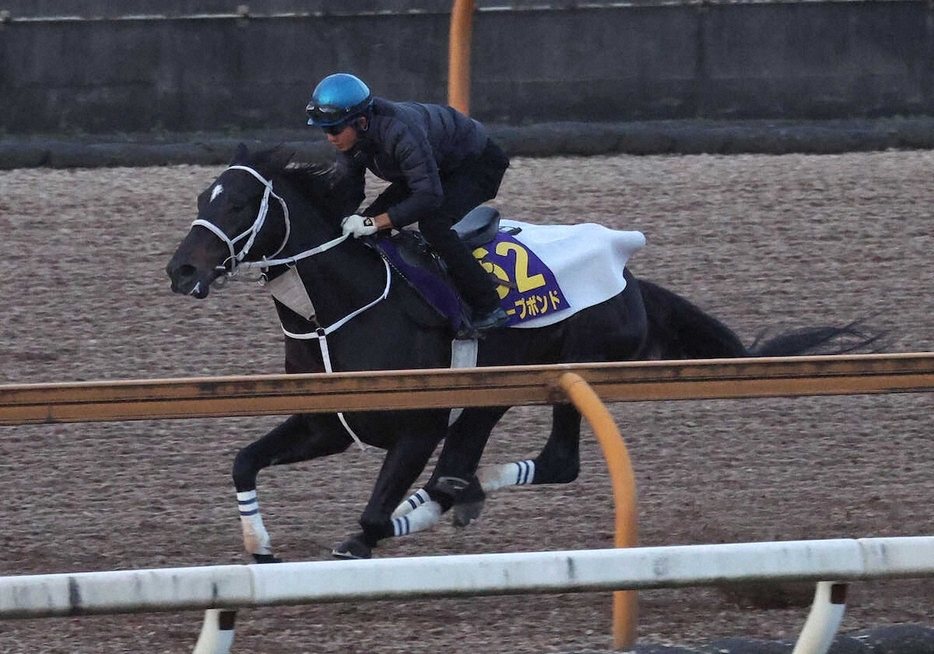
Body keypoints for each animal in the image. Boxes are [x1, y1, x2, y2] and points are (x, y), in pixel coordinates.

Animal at [166, 146, 876, 560]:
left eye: (238, 202)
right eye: (201, 198)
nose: (181, 270)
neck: (339, 312)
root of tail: (629, 273)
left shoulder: (418, 424)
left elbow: (368, 522)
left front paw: (388, 524)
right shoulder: (328, 423)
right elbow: (243, 462)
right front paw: (259, 544)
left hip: (571, 371)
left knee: (556, 461)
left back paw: (446, 499)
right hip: (495, 392)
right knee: (480, 460)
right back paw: (450, 495)